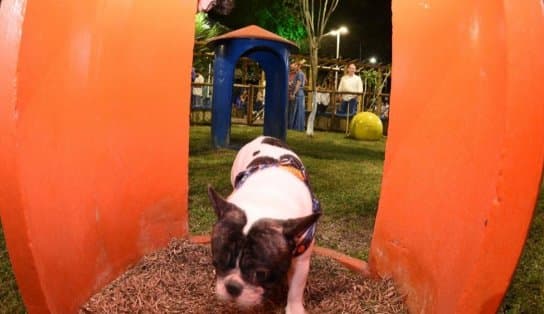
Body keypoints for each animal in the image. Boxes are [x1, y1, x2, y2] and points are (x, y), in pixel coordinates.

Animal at [207, 136, 318, 312]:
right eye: (216, 262)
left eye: (261, 274)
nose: (232, 287)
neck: (265, 199)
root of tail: (264, 137)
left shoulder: (302, 259)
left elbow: (296, 288)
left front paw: (294, 309)